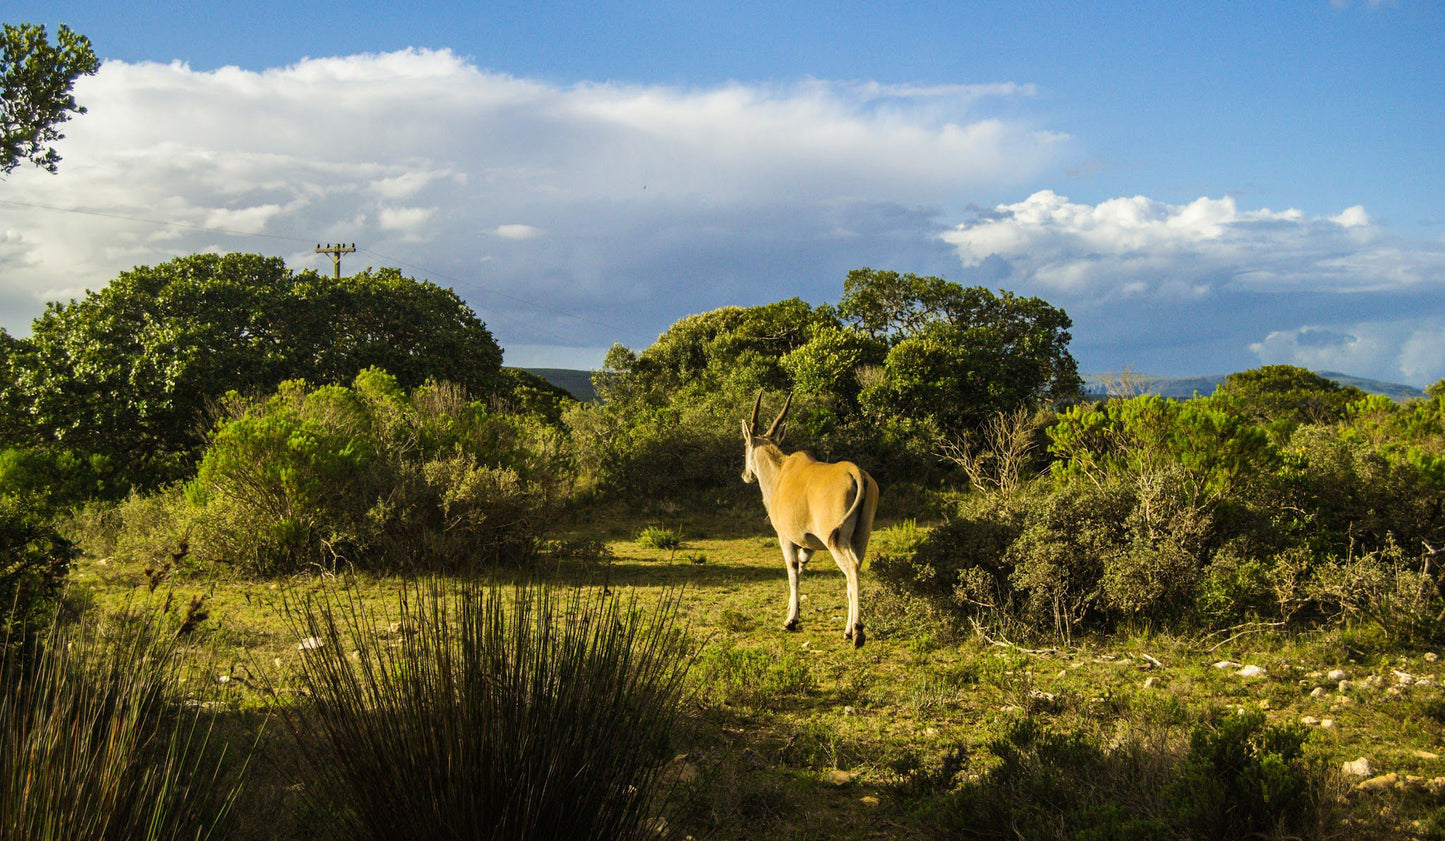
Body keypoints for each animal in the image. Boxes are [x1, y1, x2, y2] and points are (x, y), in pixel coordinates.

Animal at [745, 393, 878, 650]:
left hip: (837, 541)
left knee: (851, 570)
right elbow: (801, 569)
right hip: (860, 538)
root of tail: (855, 472)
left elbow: (792, 571)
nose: (746, 475)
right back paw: (848, 630)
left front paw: (790, 620)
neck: (780, 473)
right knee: (854, 572)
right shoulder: (809, 545)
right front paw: (793, 611)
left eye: (745, 445)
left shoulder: (785, 538)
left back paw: (857, 632)